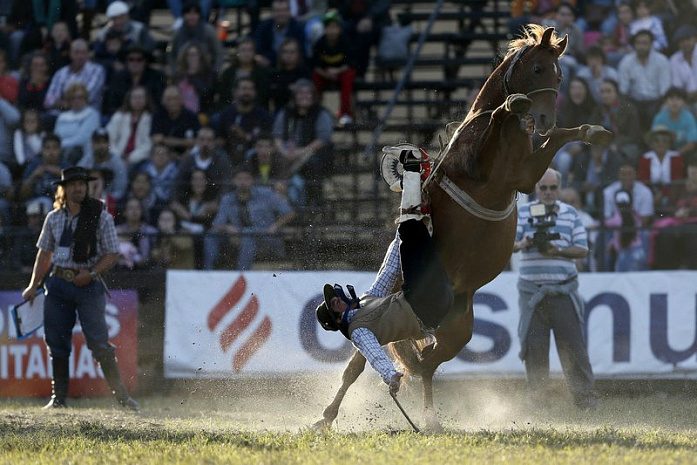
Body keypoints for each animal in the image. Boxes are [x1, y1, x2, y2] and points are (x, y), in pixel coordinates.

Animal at [312, 25, 612, 432]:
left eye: (560, 76)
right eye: (537, 69)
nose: (544, 117)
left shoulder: (525, 175)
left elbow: (562, 137)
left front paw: (593, 131)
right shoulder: (489, 166)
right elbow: (506, 116)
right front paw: (513, 104)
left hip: (459, 327)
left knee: (426, 365)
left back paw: (428, 417)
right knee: (362, 364)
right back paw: (327, 416)